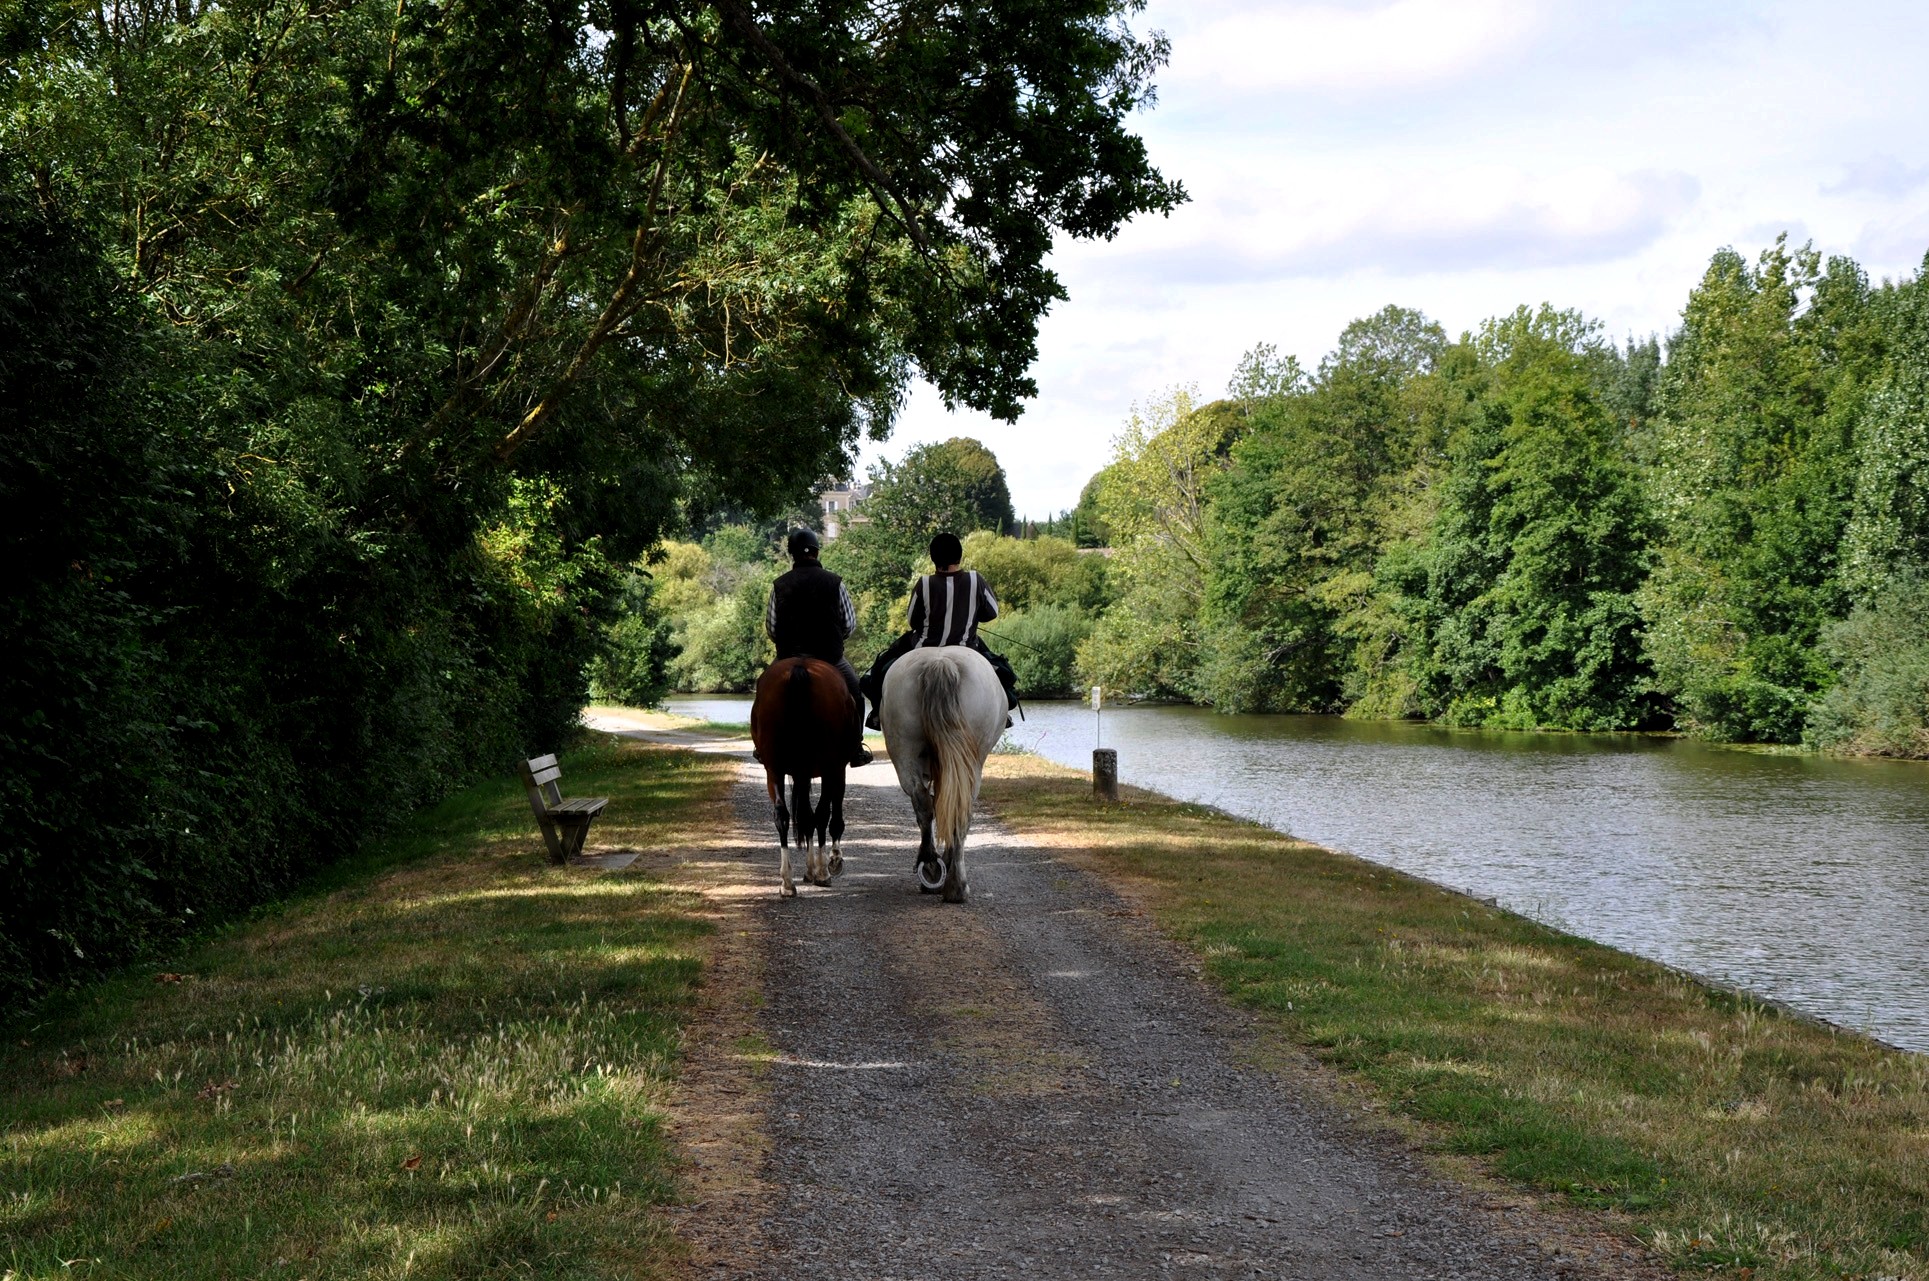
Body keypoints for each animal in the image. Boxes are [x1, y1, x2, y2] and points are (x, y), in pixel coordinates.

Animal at [744, 655, 852, 895]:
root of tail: (800, 666)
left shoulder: (802, 773)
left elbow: (805, 816)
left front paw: (810, 870)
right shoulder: (837, 769)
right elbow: (830, 818)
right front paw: (831, 863)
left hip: (774, 769)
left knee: (782, 816)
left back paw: (787, 882)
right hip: (828, 766)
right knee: (821, 814)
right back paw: (821, 872)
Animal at [879, 652, 1003, 899]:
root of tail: (940, 661)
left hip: (905, 750)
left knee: (923, 802)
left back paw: (932, 867)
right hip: (972, 763)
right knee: (960, 811)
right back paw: (955, 884)